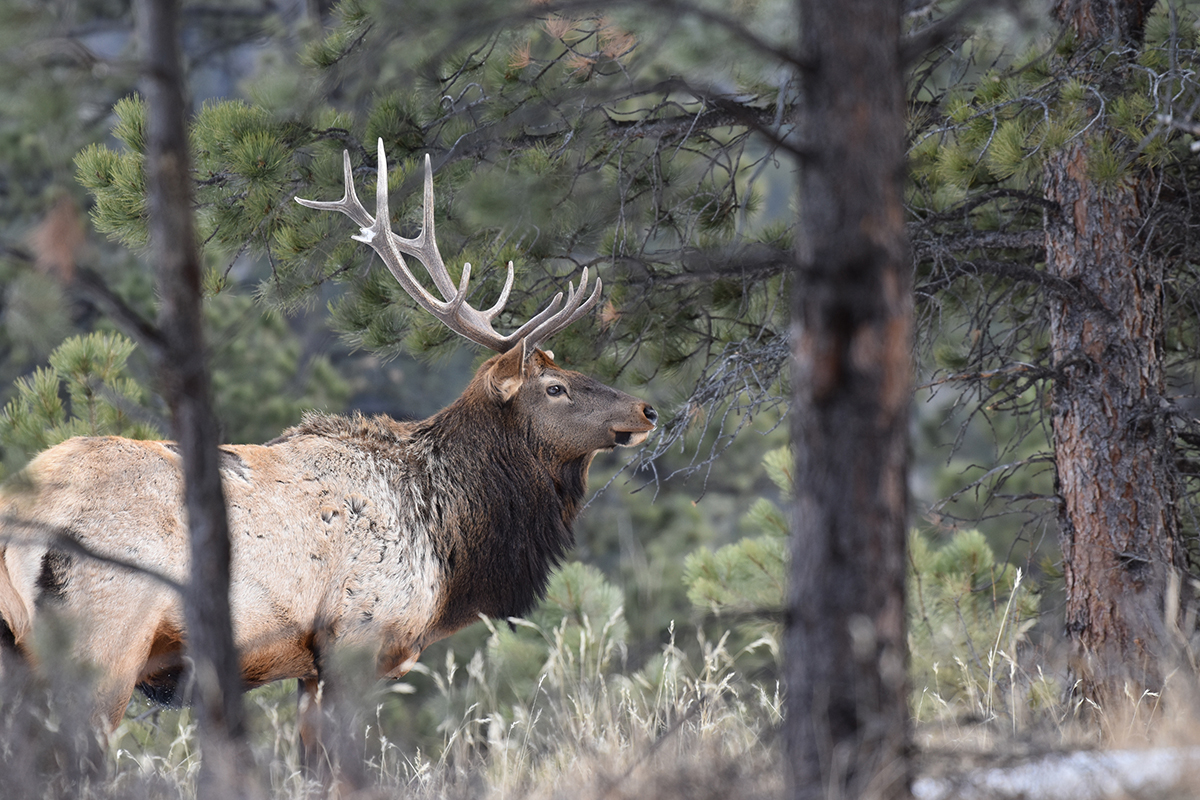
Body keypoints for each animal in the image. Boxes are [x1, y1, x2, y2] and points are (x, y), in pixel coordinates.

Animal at [0, 140, 657, 757]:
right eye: (555, 388)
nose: (647, 410)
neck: (444, 540)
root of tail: (26, 513)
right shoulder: (358, 631)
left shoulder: (309, 666)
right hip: (106, 636)